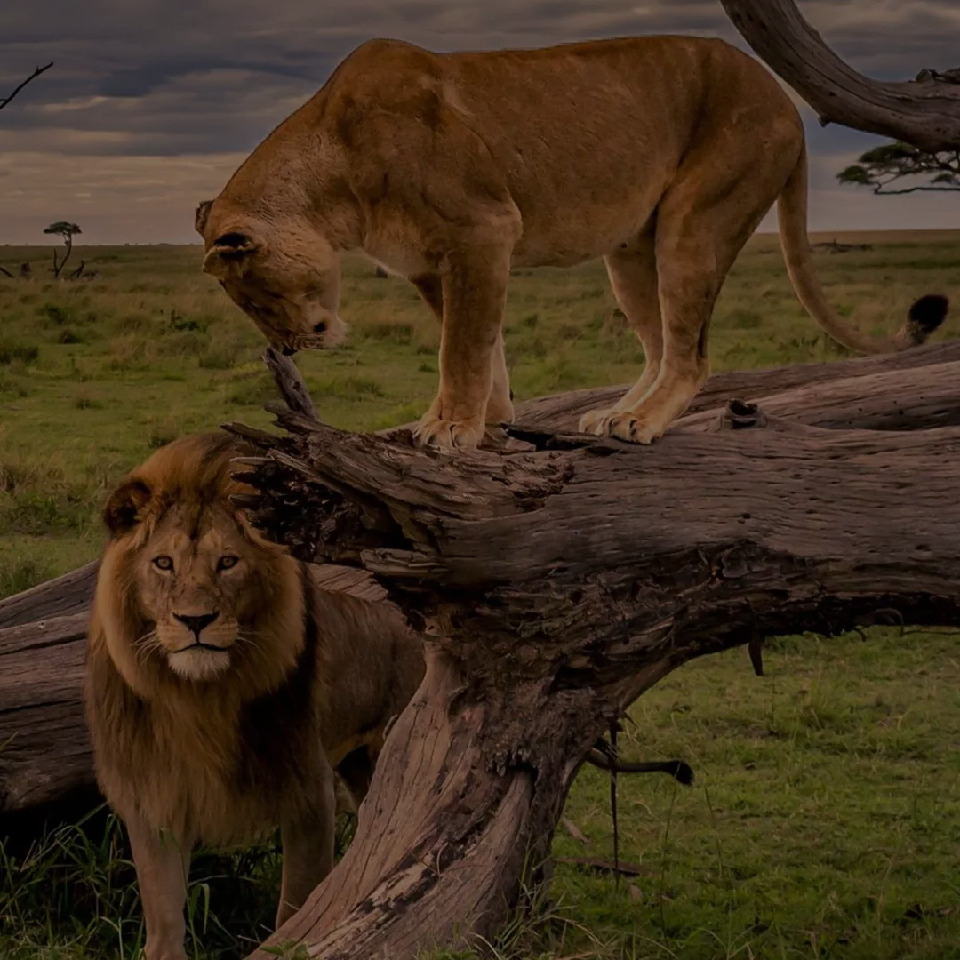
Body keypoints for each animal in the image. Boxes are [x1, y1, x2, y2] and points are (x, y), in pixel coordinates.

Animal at [85, 434, 424, 960]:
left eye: (227, 563)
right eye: (163, 563)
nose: (195, 620)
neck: (199, 698)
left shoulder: (308, 791)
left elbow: (296, 907)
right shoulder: (156, 799)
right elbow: (164, 919)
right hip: (358, 766)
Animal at [195, 38, 944, 454]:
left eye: (258, 295)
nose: (291, 347)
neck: (332, 183)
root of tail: (786, 99)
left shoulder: (482, 229)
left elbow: (461, 346)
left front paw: (452, 428)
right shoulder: (434, 265)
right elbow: (476, 344)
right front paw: (483, 420)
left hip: (696, 219)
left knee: (692, 355)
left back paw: (641, 422)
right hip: (631, 251)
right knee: (660, 345)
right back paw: (617, 412)